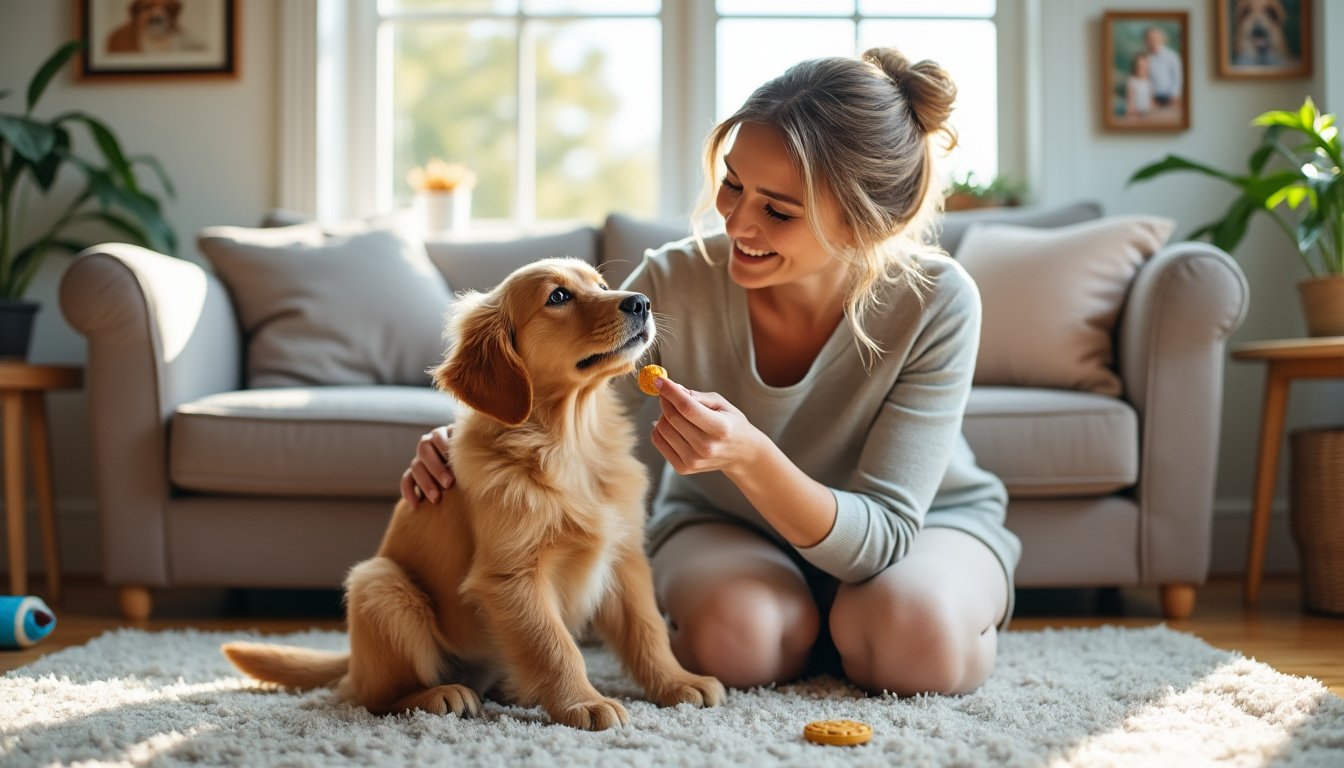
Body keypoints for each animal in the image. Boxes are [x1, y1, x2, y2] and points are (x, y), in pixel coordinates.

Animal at [221, 259, 725, 731]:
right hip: (380, 585)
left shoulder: (624, 558)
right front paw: (584, 703)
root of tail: (354, 663)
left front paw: (676, 682)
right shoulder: (511, 576)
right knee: (373, 696)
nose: (640, 302)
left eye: (601, 286)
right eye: (558, 296)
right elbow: (555, 646)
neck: (570, 444)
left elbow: (647, 630)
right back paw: (439, 695)